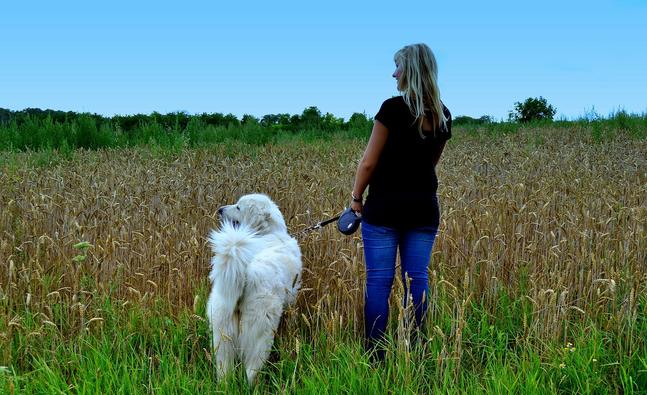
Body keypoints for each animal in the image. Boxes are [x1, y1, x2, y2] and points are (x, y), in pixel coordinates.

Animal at [206, 193, 302, 386]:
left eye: (238, 207)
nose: (219, 210)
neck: (270, 233)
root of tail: (244, 274)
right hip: (261, 333)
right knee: (251, 370)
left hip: (222, 334)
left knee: (224, 370)